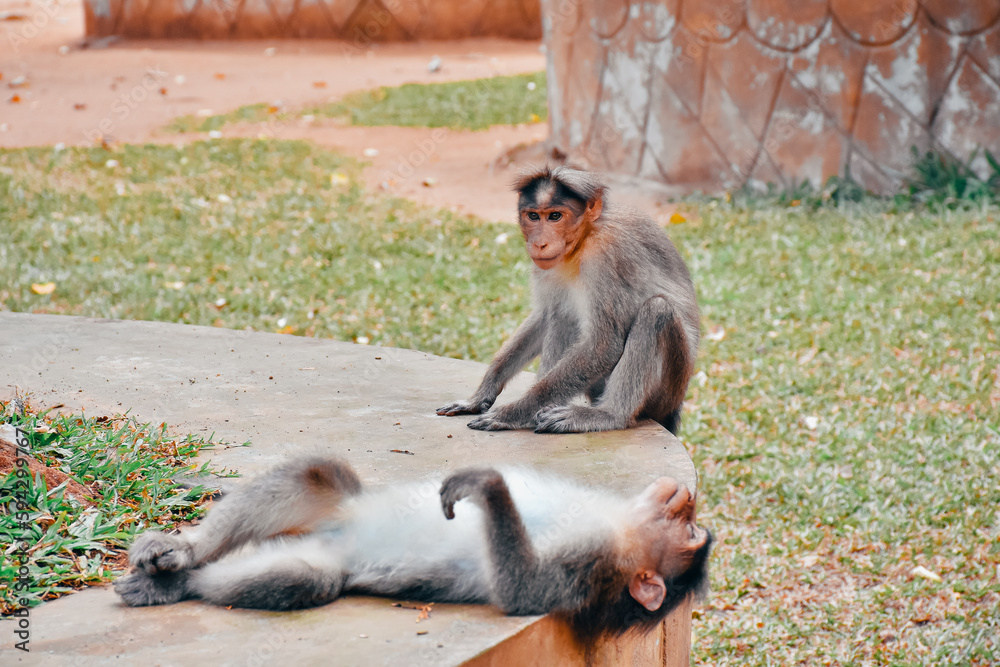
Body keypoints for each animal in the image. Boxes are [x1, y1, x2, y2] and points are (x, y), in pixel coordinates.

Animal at [114, 456, 712, 643]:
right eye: (692, 527)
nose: (686, 498)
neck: (615, 525)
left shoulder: (590, 566)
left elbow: (521, 591)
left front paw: (488, 485)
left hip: (324, 559)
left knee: (310, 579)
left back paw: (179, 582)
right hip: (330, 515)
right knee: (319, 474)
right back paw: (185, 553)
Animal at [436, 166, 699, 434]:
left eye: (555, 216)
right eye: (534, 216)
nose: (539, 243)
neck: (582, 242)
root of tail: (675, 407)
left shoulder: (606, 256)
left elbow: (604, 345)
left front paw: (512, 412)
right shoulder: (546, 266)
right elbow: (544, 317)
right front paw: (480, 396)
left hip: (666, 391)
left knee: (657, 311)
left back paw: (609, 415)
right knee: (563, 315)